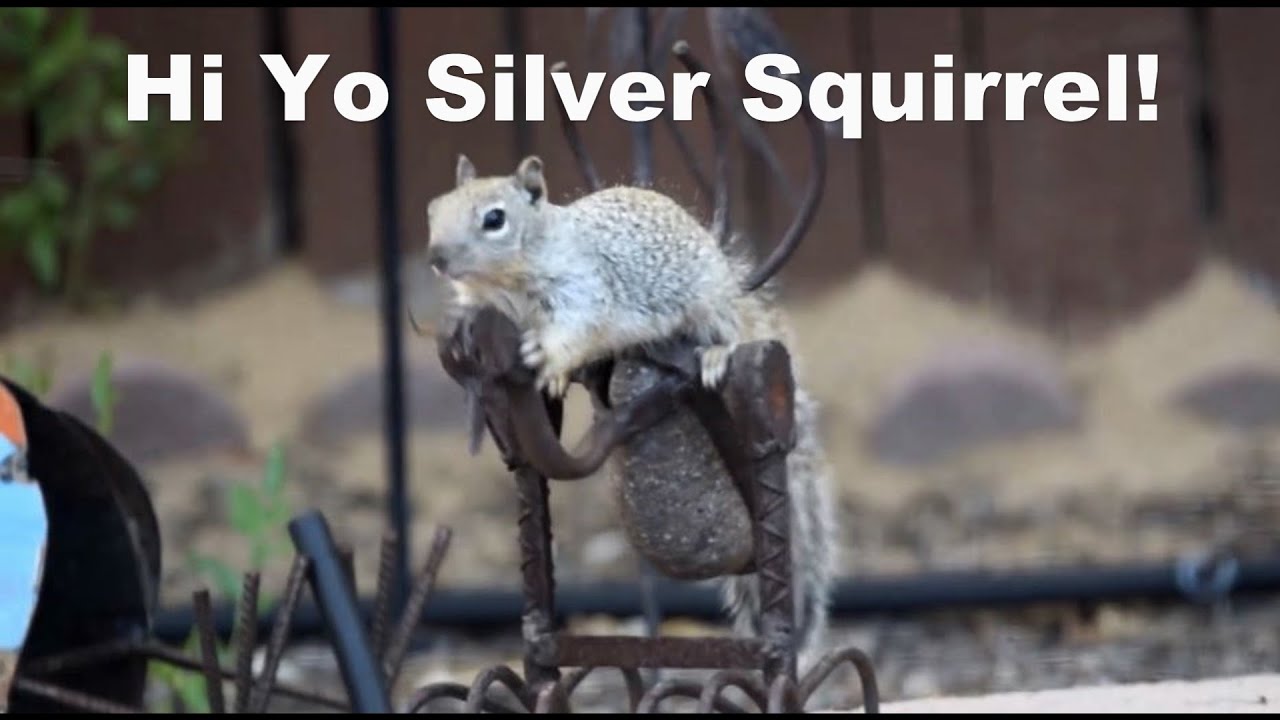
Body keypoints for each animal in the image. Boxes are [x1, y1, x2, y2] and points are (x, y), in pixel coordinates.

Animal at [425, 153, 838, 662]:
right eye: (434, 209)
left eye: (494, 219)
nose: (437, 259)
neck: (510, 281)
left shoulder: (584, 290)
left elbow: (577, 330)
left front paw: (549, 359)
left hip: (709, 300)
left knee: (725, 329)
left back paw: (716, 353)